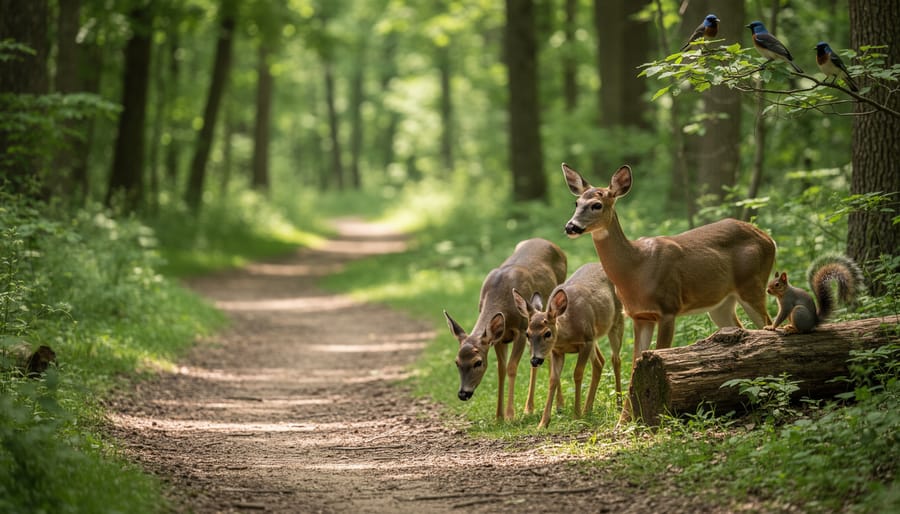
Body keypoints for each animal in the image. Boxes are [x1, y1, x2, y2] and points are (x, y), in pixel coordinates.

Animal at [444, 238, 567, 421]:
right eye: (457, 362)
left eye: (478, 362)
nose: (463, 394)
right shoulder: (499, 338)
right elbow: (501, 370)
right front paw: (498, 416)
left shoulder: (521, 331)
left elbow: (511, 368)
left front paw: (510, 415)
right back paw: (530, 407)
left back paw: (557, 405)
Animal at [512, 262, 625, 428]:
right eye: (527, 334)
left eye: (547, 333)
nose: (535, 360)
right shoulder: (558, 351)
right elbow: (553, 379)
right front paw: (543, 423)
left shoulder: (586, 341)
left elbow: (577, 374)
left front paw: (576, 415)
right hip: (595, 336)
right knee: (600, 361)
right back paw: (588, 408)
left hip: (616, 321)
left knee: (615, 359)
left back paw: (618, 405)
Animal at [562, 163, 776, 421]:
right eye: (576, 202)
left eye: (597, 204)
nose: (571, 226)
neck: (636, 268)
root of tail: (768, 238)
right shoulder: (639, 316)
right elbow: (635, 362)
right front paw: (625, 420)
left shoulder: (668, 308)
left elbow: (661, 354)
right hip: (721, 304)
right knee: (742, 331)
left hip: (752, 284)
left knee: (768, 325)